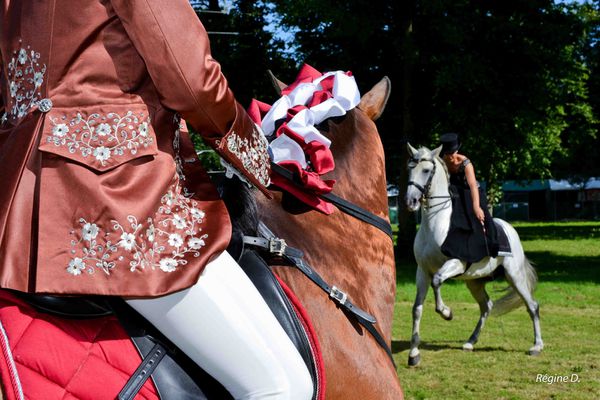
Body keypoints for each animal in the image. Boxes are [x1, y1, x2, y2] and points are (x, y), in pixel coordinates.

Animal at [404, 144, 544, 366]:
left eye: (426, 170)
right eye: (409, 170)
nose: (411, 201)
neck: (437, 223)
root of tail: (509, 229)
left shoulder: (456, 263)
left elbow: (437, 281)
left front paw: (447, 313)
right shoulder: (422, 271)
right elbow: (417, 309)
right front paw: (413, 354)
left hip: (515, 276)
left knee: (532, 306)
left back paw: (537, 346)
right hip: (475, 282)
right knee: (486, 306)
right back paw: (470, 341)